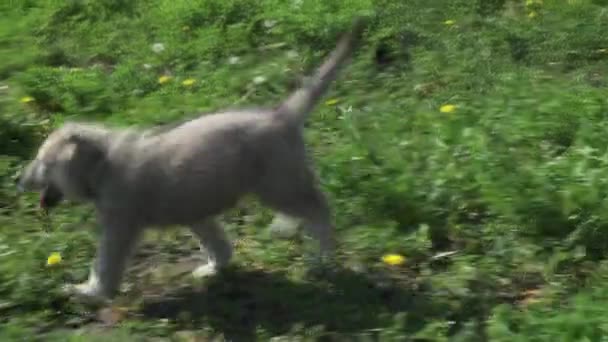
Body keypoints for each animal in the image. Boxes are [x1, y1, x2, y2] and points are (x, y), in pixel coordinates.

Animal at [17, 17, 366, 304]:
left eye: (43, 163)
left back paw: (322, 260)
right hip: (282, 183)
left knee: (320, 209)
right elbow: (218, 243)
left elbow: (105, 264)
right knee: (308, 207)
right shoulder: (195, 211)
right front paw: (214, 269)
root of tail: (280, 116)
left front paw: (88, 292)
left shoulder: (120, 224)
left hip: (278, 184)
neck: (102, 166)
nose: (17, 180)